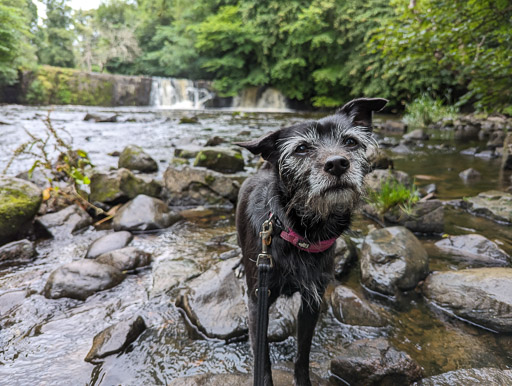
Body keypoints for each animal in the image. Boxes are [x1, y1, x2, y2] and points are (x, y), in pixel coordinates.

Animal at [234, 98, 386, 384]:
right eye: (302, 148)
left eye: (350, 141)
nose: (337, 164)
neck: (299, 232)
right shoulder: (258, 301)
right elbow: (263, 357)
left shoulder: (312, 300)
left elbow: (302, 350)